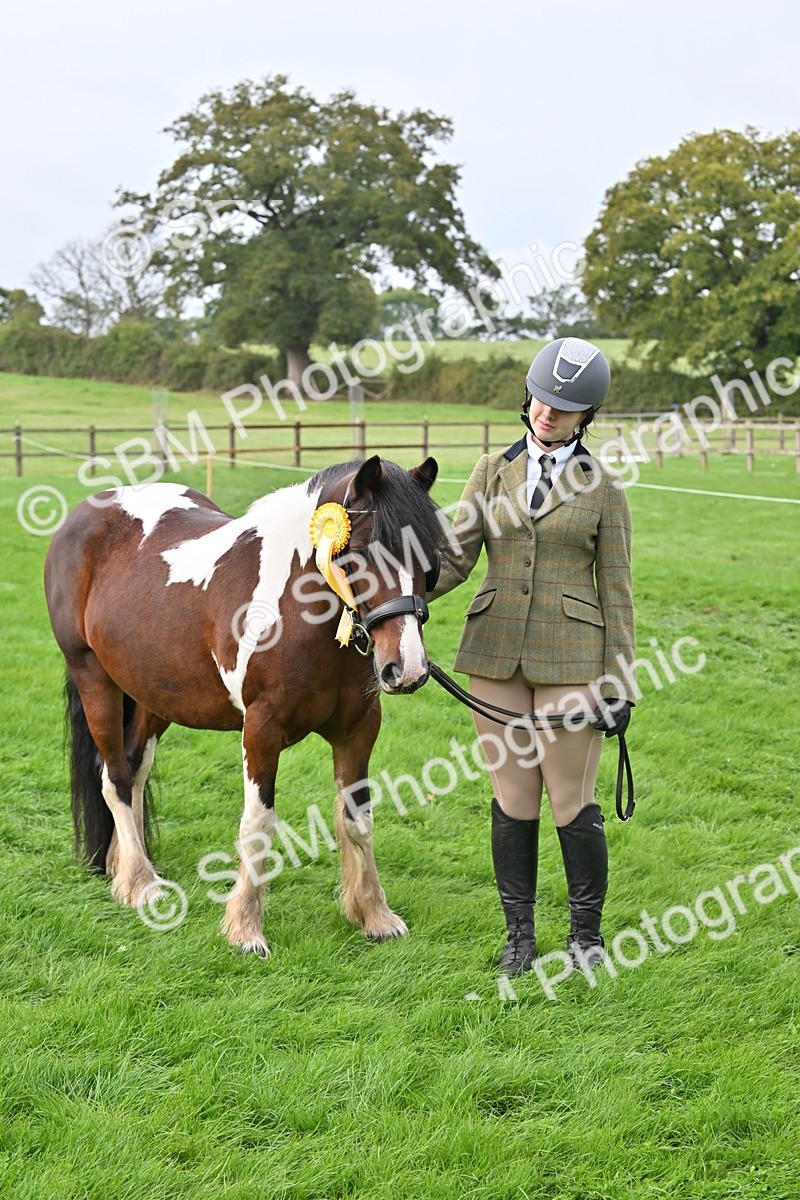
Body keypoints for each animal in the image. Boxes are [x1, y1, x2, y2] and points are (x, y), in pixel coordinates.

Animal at [44, 454, 444, 958]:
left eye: (429, 559)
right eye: (362, 553)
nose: (407, 669)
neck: (297, 612)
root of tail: (85, 513)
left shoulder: (359, 730)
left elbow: (358, 820)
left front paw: (374, 916)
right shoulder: (261, 730)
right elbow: (259, 825)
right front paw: (245, 928)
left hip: (152, 695)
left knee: (134, 771)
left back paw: (126, 867)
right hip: (93, 677)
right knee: (114, 778)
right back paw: (141, 884)